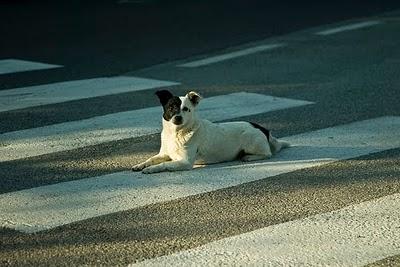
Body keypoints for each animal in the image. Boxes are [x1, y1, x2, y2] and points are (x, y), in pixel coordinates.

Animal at [133, 90, 290, 174]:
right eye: (171, 107)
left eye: (186, 109)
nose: (178, 117)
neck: (176, 133)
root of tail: (263, 129)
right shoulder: (164, 154)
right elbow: (151, 159)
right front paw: (141, 165)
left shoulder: (185, 162)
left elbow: (164, 165)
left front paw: (151, 169)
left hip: (250, 140)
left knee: (267, 154)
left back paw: (249, 157)